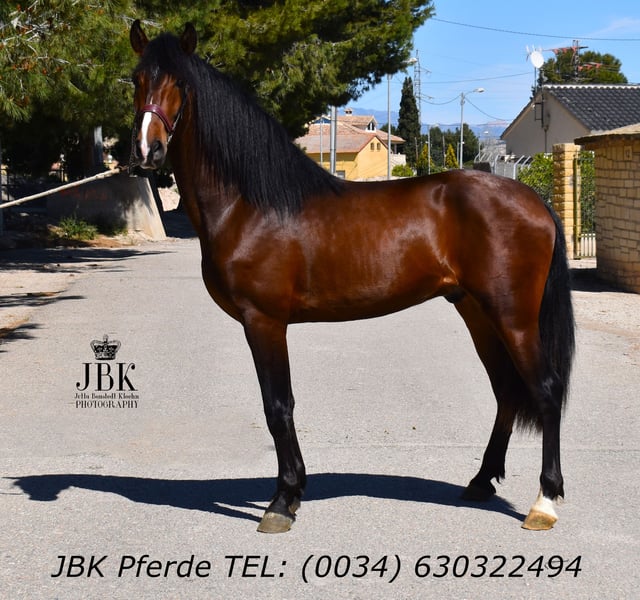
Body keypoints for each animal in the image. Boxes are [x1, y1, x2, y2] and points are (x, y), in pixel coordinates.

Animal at [129, 20, 575, 534]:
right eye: (137, 80)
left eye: (179, 85)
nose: (146, 151)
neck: (251, 203)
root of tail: (535, 201)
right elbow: (279, 406)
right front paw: (293, 492)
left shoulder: (264, 321)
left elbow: (278, 406)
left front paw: (282, 500)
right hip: (477, 313)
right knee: (505, 391)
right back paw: (481, 481)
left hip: (513, 316)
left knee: (545, 391)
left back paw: (544, 502)